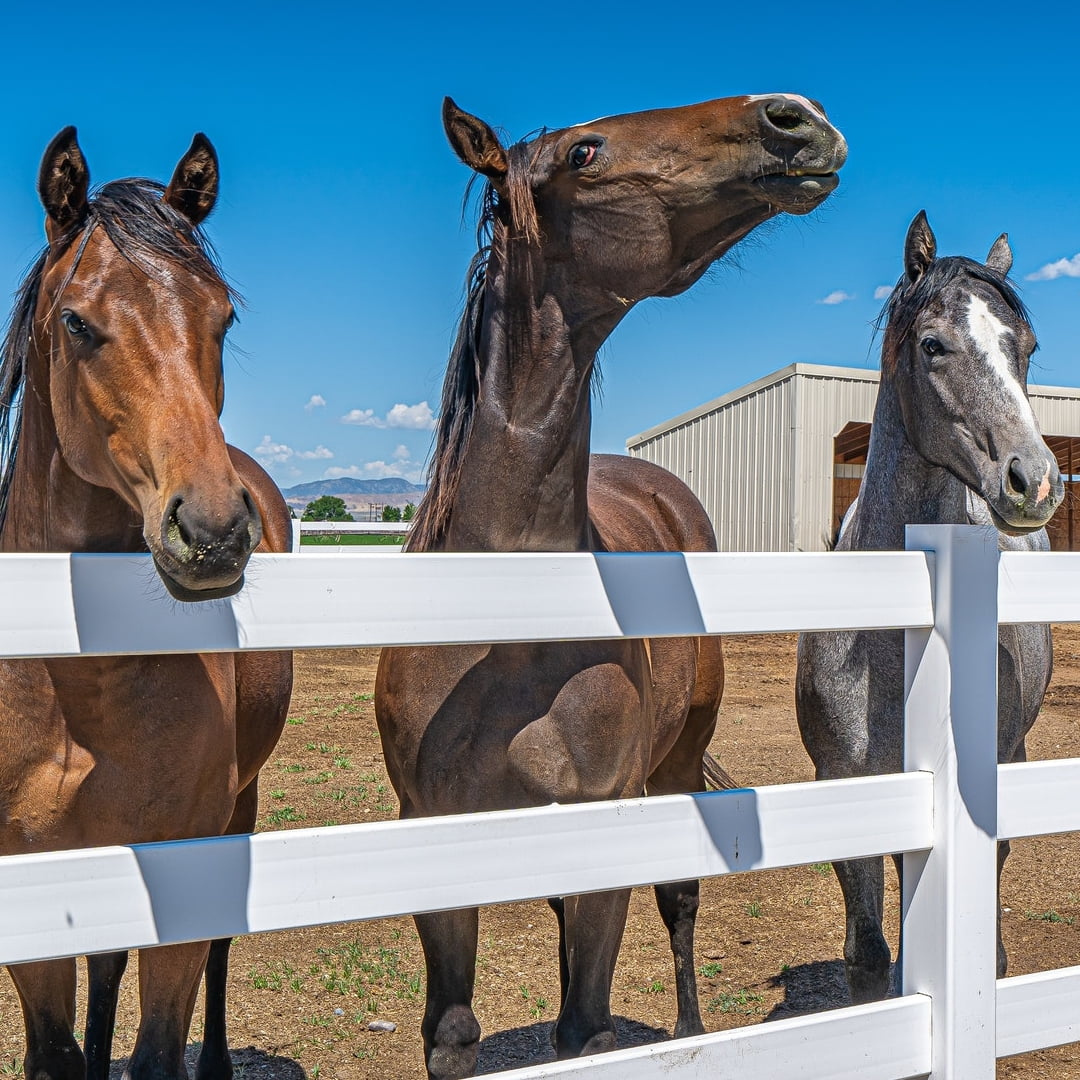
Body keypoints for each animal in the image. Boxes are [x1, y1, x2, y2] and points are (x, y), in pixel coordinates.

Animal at [0, 130, 293, 1080]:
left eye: (222, 320)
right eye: (75, 322)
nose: (213, 531)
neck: (77, 682)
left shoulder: (182, 870)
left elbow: (163, 1038)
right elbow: (55, 1050)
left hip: (239, 804)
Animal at [375, 95, 846, 1080]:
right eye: (584, 153)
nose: (795, 118)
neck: (505, 644)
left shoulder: (609, 819)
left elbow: (587, 1032)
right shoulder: (435, 838)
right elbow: (454, 1034)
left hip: (672, 769)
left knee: (678, 903)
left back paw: (693, 1031)